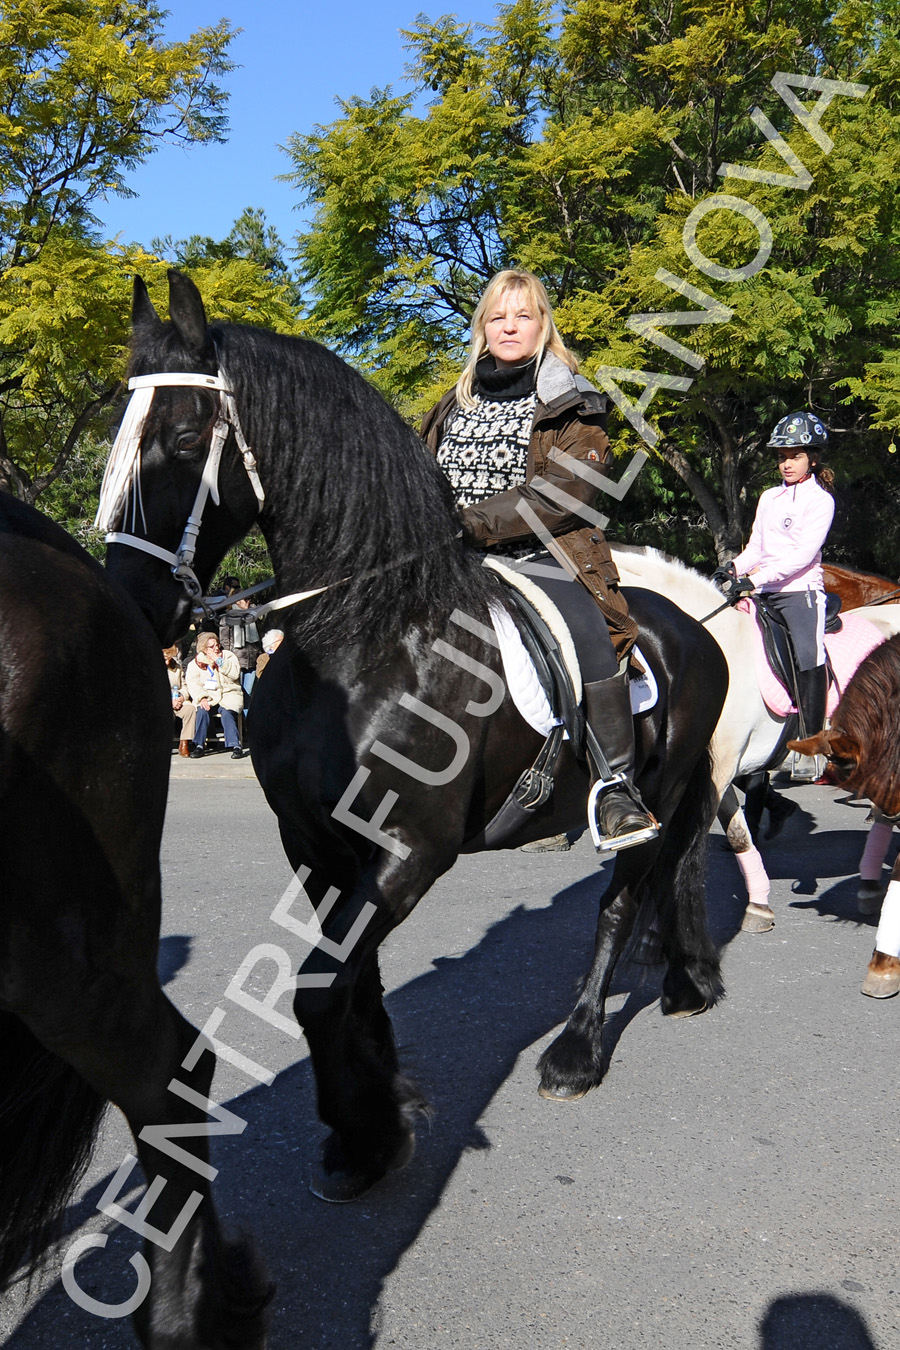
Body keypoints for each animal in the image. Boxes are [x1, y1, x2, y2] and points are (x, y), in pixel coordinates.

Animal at [100, 271, 734, 1204]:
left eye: (183, 439)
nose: (132, 604)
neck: (369, 636)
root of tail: (695, 627)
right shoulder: (317, 844)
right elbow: (348, 984)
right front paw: (374, 1116)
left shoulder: (410, 849)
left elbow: (319, 993)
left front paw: (367, 1129)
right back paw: (687, 982)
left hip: (653, 793)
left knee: (625, 898)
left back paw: (577, 1051)